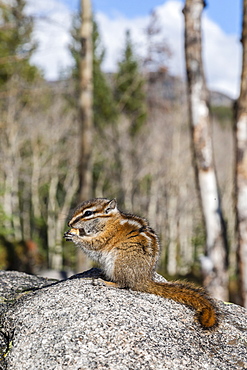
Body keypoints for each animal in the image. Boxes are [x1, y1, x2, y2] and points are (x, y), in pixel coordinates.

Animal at [64, 198, 218, 328]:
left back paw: (105, 282)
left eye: (88, 213)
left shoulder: (106, 236)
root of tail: (143, 279)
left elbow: (93, 244)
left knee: (123, 284)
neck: (110, 221)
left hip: (119, 261)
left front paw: (75, 236)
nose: (69, 224)